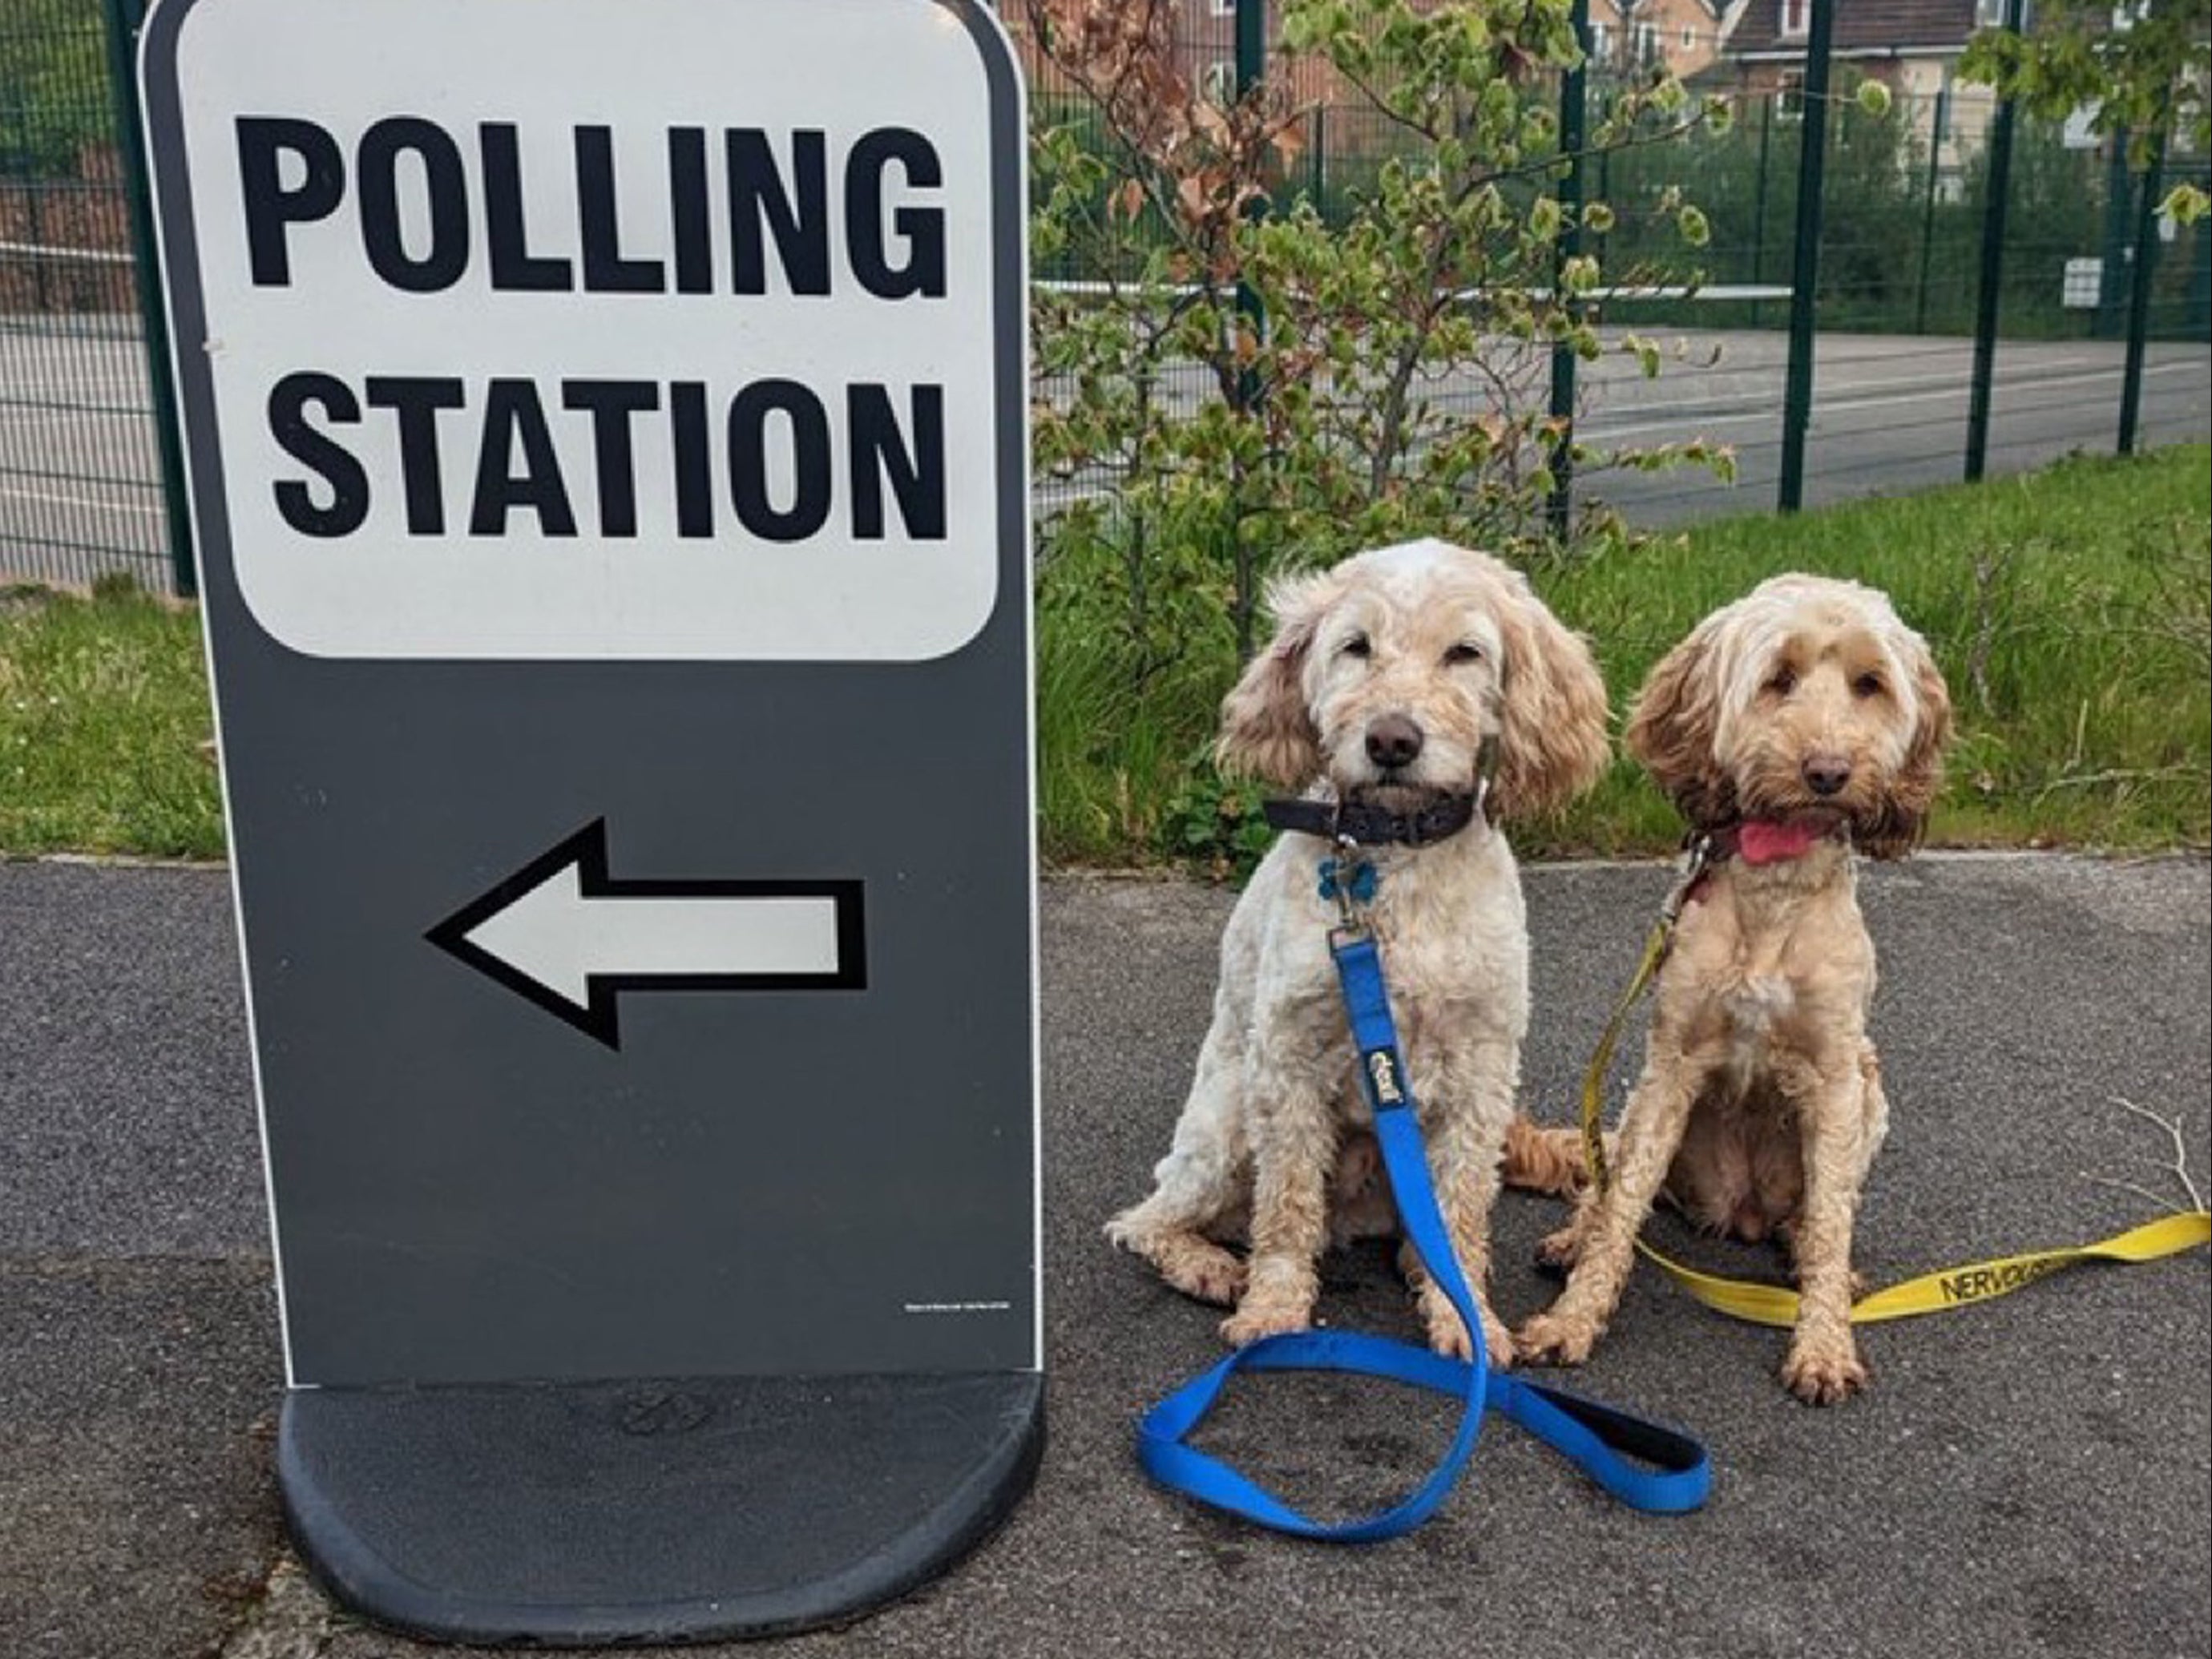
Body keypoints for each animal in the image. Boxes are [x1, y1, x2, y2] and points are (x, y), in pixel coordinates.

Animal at [1106, 542, 1610, 1362]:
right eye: (1356, 647)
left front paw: (1465, 1315)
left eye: (1464, 653)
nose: (1391, 740)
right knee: (1148, 1219)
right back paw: (1206, 1264)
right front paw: (1273, 1313)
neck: (1393, 857)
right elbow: (1285, 1207)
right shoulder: (1286, 1061)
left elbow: (1460, 1214)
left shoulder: (1481, 1072)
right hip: (1224, 1120)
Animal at [1521, 571, 1955, 1407]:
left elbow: (1831, 1221)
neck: (1773, 887)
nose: (1828, 772)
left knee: (1819, 1215)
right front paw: (1573, 1319)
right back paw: (1573, 1235)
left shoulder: (1834, 1073)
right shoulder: (1672, 1063)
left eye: (1869, 684)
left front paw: (1824, 1342)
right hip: (1639, 1100)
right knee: (1612, 1182)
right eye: (1778, 678)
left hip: (1871, 1091)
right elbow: (1623, 1207)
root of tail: (1744, 1211)